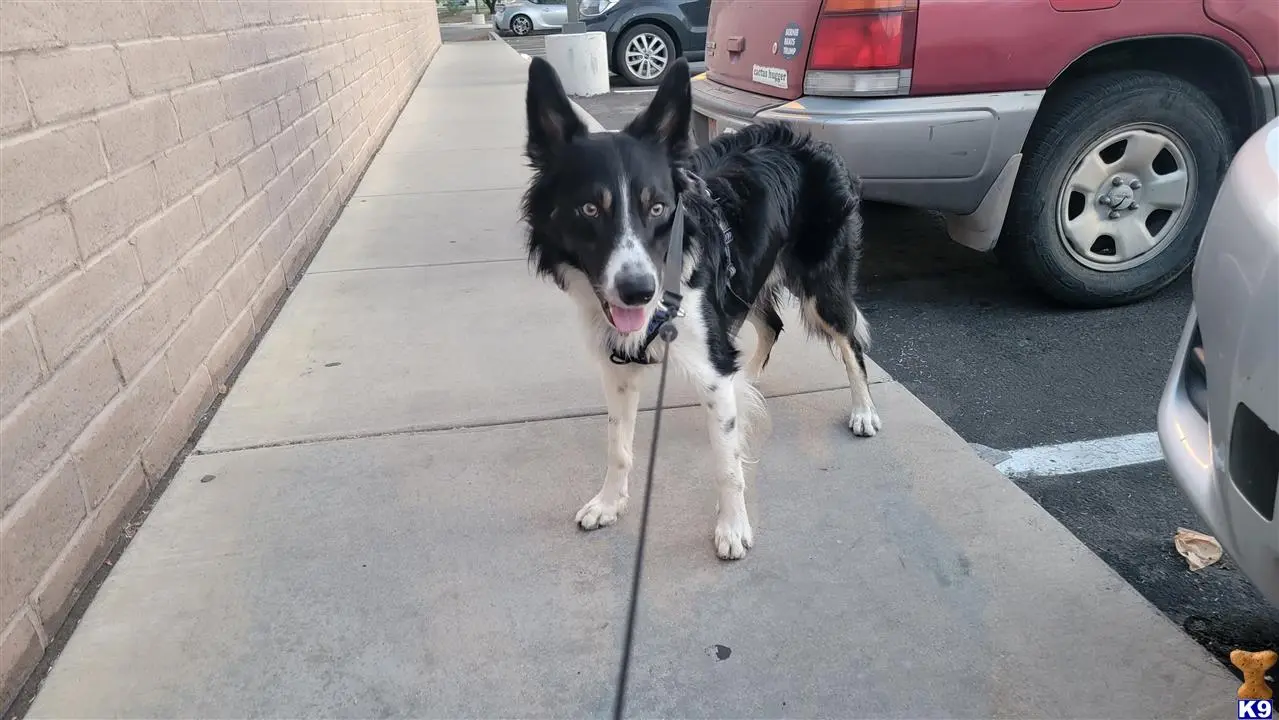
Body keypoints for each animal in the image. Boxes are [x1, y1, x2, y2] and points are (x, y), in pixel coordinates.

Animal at [519, 57, 879, 562]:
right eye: (589, 209)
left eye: (657, 208)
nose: (638, 292)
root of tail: (814, 141)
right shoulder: (620, 366)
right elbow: (618, 445)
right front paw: (609, 503)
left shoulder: (707, 353)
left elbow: (727, 466)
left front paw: (732, 528)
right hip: (745, 285)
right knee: (772, 326)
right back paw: (749, 382)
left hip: (821, 287)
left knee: (850, 341)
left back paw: (863, 410)